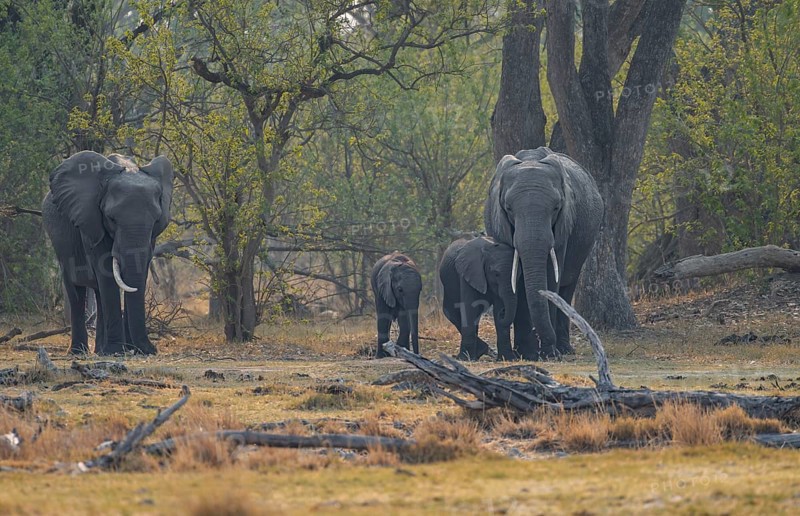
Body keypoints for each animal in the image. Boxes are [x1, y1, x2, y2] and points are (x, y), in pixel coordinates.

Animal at [42, 151, 173, 355]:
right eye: (111, 219)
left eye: (156, 220)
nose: (150, 350)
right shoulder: (91, 222)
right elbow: (106, 272)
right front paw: (116, 351)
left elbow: (137, 272)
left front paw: (131, 350)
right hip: (60, 244)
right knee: (76, 291)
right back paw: (79, 352)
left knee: (98, 293)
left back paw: (100, 351)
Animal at [484, 147, 603, 360]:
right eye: (508, 208)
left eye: (556, 208)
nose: (548, 350)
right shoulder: (498, 224)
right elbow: (517, 280)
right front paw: (527, 353)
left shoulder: (564, 226)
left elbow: (550, 276)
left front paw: (547, 353)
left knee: (567, 287)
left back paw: (564, 349)